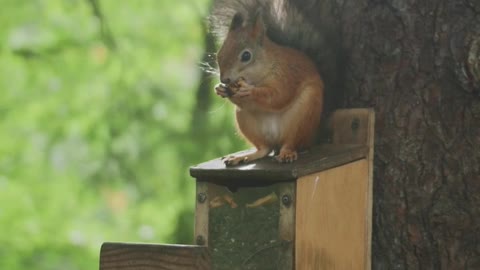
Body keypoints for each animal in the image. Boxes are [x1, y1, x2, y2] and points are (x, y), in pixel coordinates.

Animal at [211, 0, 326, 166]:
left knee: (291, 142)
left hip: (304, 117)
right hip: (245, 120)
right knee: (264, 148)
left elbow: (278, 96)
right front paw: (220, 89)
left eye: (246, 56)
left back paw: (286, 153)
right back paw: (244, 156)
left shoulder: (287, 75)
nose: (224, 79)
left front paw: (249, 90)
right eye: (219, 54)